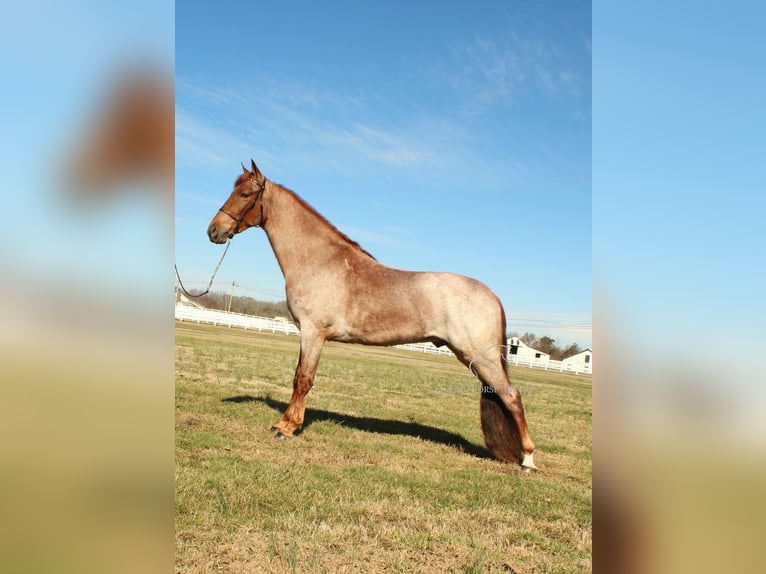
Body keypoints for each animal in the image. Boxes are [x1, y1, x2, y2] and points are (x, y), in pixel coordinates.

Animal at [207, 159, 536, 472]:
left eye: (245, 194)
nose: (213, 231)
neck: (320, 261)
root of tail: (492, 295)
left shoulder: (313, 332)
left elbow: (303, 379)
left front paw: (287, 427)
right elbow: (298, 376)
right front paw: (287, 422)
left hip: (480, 356)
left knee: (512, 396)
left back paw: (528, 460)